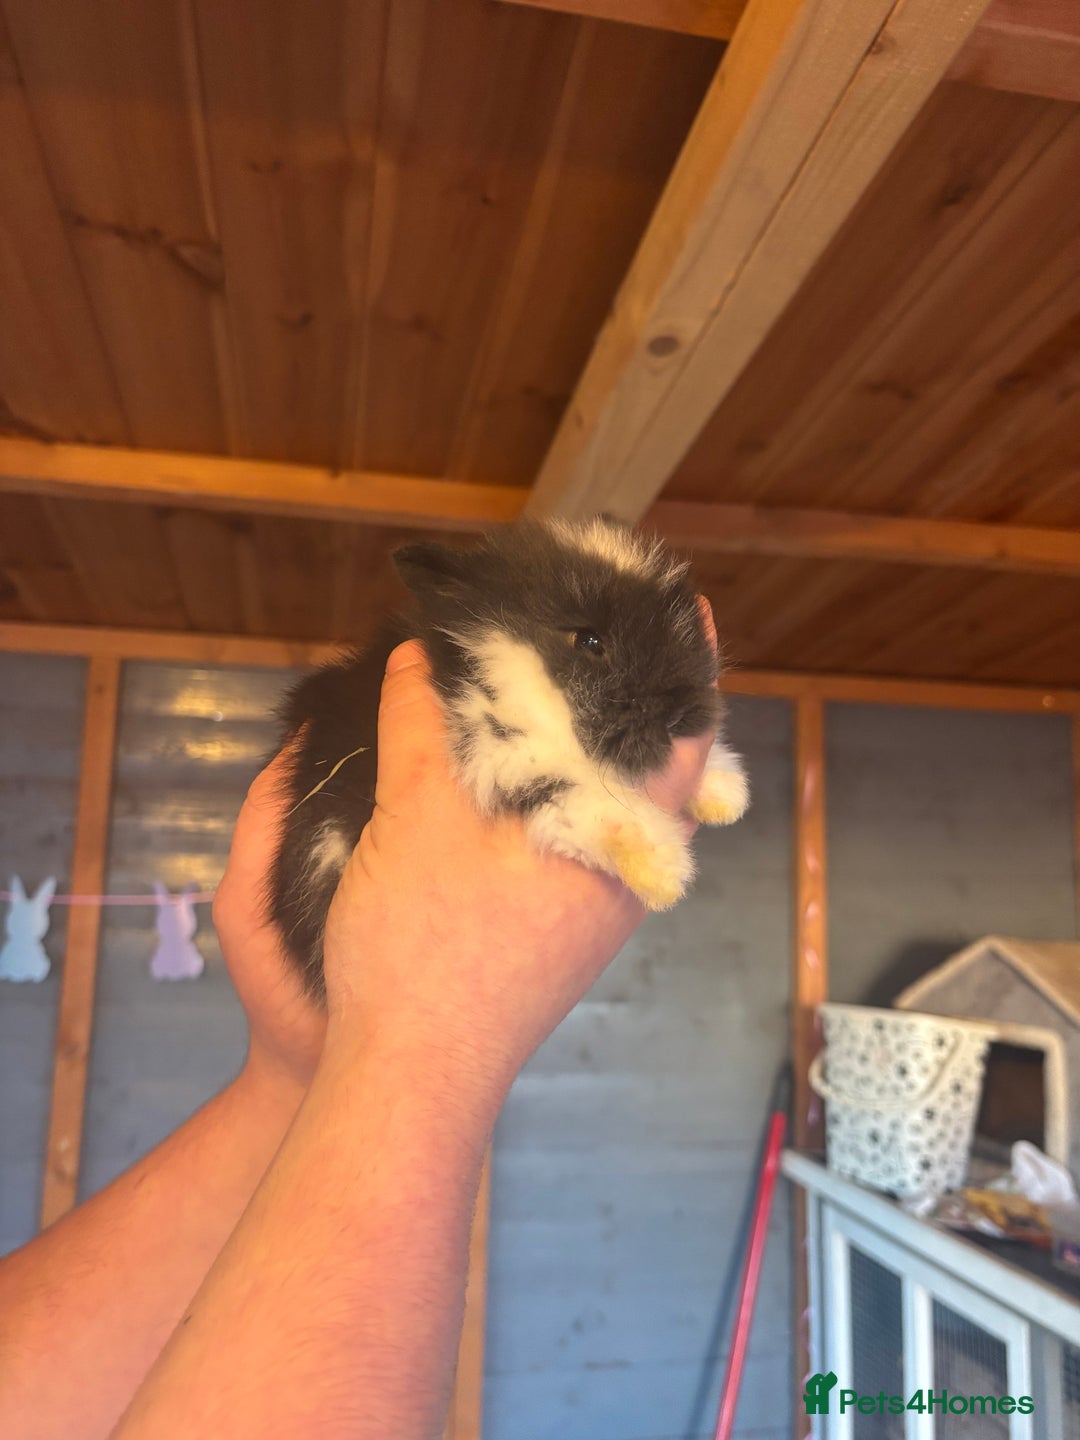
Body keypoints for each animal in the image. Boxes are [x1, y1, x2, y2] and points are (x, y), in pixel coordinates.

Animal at [269, 516, 749, 1000]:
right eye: (588, 640)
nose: (680, 713)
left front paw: (725, 793)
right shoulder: (505, 754)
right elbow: (584, 800)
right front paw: (663, 874)